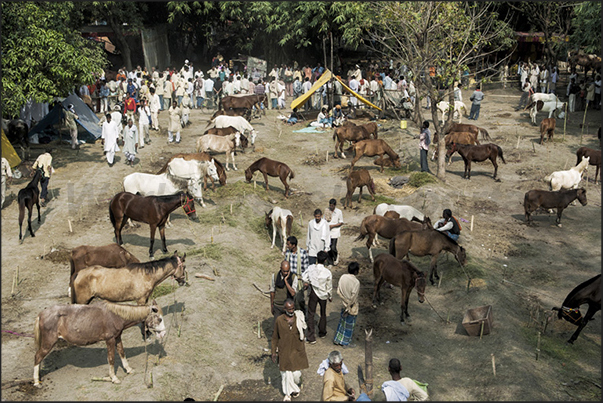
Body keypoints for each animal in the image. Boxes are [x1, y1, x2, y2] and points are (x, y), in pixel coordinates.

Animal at [32, 300, 165, 388]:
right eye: (159, 319)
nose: (163, 334)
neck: (115, 315)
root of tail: (41, 314)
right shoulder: (110, 339)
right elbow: (111, 358)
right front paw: (114, 378)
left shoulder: (117, 337)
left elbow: (122, 352)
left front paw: (128, 369)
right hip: (48, 343)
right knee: (37, 357)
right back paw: (36, 382)